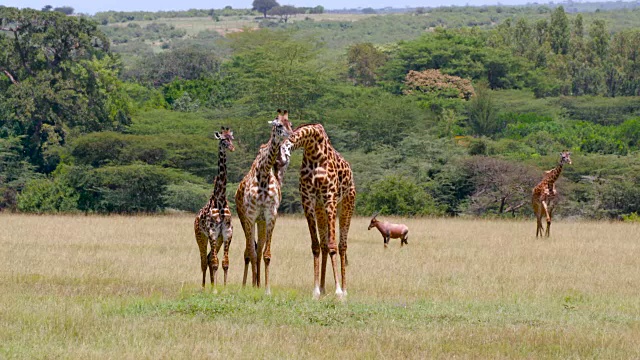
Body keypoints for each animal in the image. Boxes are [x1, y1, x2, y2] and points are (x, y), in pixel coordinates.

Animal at [195, 128, 238, 288]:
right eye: (223, 140)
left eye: (231, 138)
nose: (232, 148)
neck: (220, 200)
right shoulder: (212, 232)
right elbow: (215, 262)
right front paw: (214, 289)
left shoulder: (227, 232)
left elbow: (225, 262)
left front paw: (223, 287)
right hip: (200, 236)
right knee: (204, 260)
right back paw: (204, 287)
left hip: (218, 239)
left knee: (208, 257)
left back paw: (212, 284)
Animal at [235, 109, 296, 296]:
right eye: (279, 125)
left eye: (291, 123)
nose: (291, 136)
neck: (263, 173)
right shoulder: (250, 215)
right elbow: (252, 253)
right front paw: (251, 287)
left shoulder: (270, 215)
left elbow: (266, 254)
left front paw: (266, 289)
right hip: (244, 219)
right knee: (249, 251)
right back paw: (247, 284)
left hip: (260, 222)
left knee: (258, 248)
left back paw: (258, 283)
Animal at [284, 124, 358, 300]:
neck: (313, 151)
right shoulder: (308, 201)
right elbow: (316, 245)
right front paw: (316, 290)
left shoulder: (329, 198)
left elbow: (332, 245)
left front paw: (338, 291)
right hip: (320, 210)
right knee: (324, 245)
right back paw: (324, 288)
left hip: (347, 204)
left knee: (342, 245)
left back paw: (345, 289)